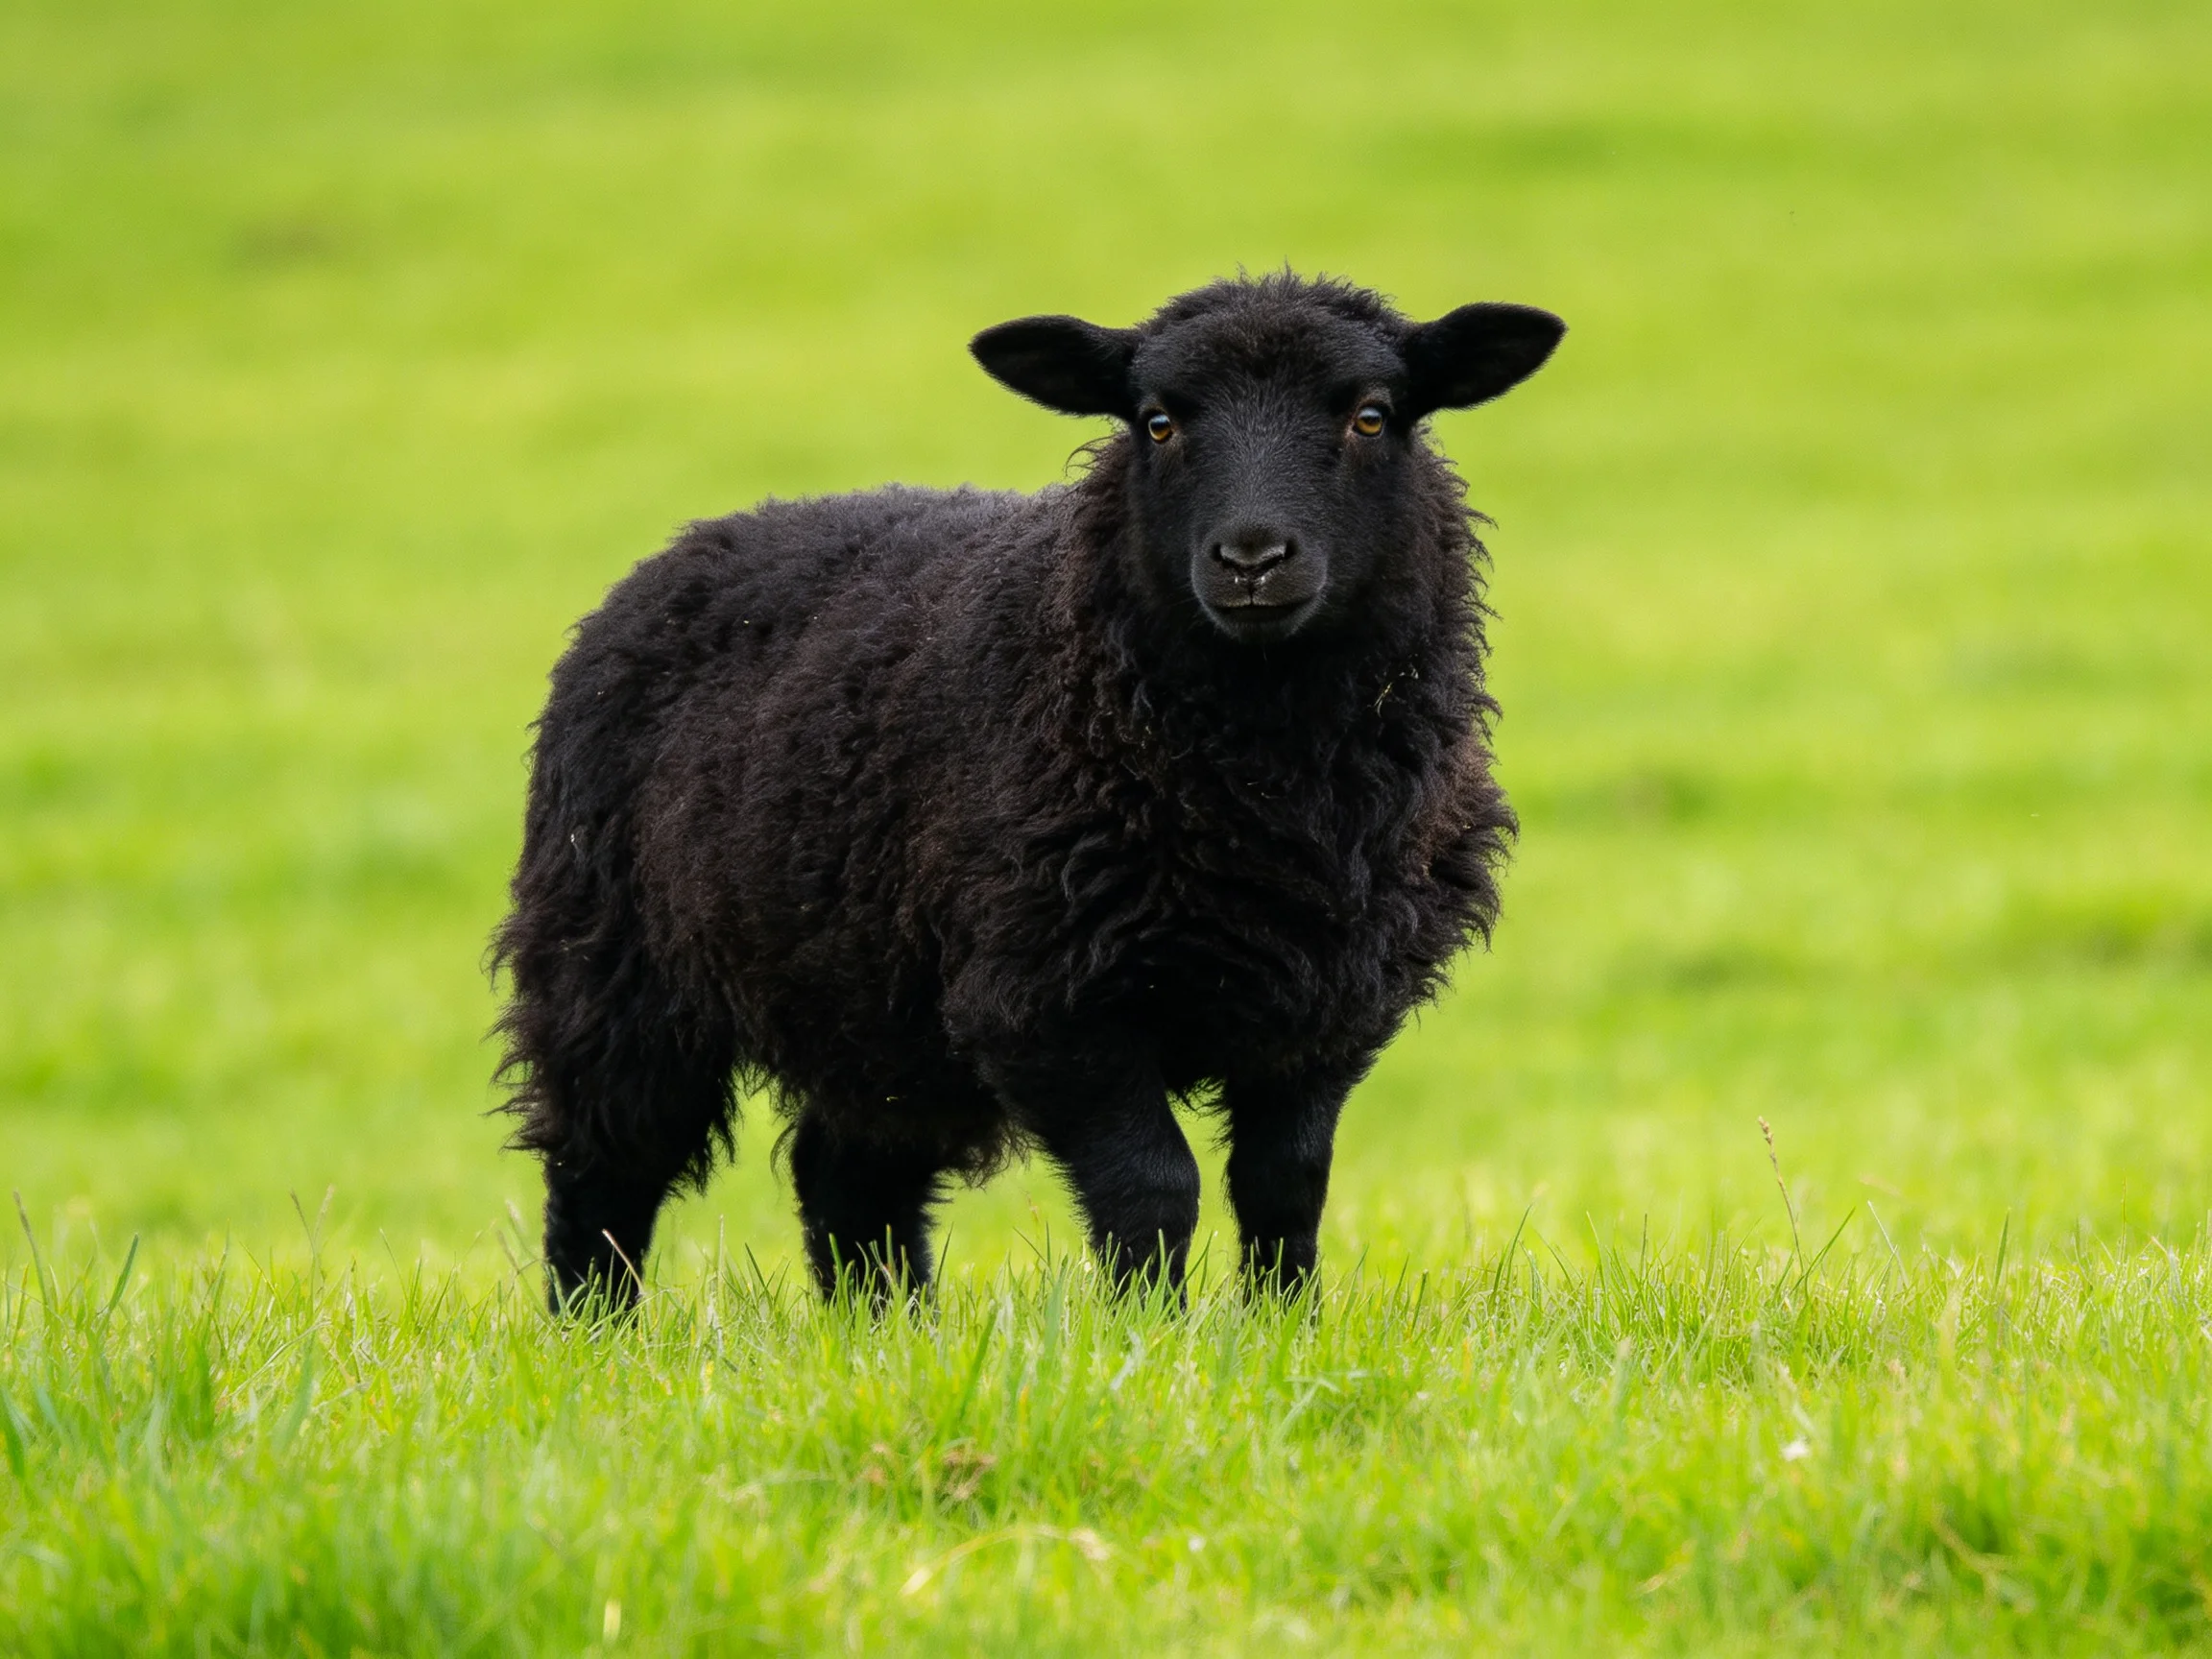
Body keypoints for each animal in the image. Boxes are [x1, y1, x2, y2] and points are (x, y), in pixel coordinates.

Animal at [491, 272, 1564, 1307]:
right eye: (1157, 422)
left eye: (1372, 416)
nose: (1252, 559)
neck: (1267, 783)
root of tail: (701, 539)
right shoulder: (1049, 999)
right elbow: (1153, 1188)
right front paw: (1151, 1333)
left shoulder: (1327, 1006)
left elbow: (1285, 1183)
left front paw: (1279, 1327)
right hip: (613, 961)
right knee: (605, 1169)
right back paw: (595, 1332)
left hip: (869, 992)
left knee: (852, 1179)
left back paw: (885, 1336)